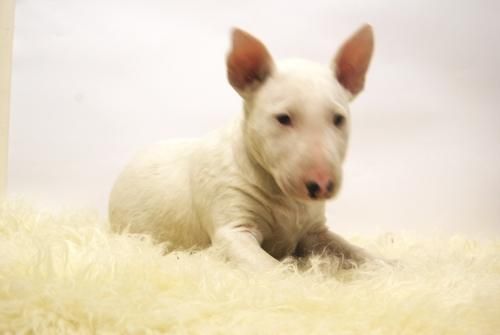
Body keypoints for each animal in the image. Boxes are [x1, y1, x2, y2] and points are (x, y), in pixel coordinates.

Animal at [109, 25, 376, 272]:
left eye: (339, 119)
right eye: (283, 118)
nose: (321, 185)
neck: (285, 197)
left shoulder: (315, 232)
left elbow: (358, 252)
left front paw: (384, 265)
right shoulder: (232, 226)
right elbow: (275, 269)